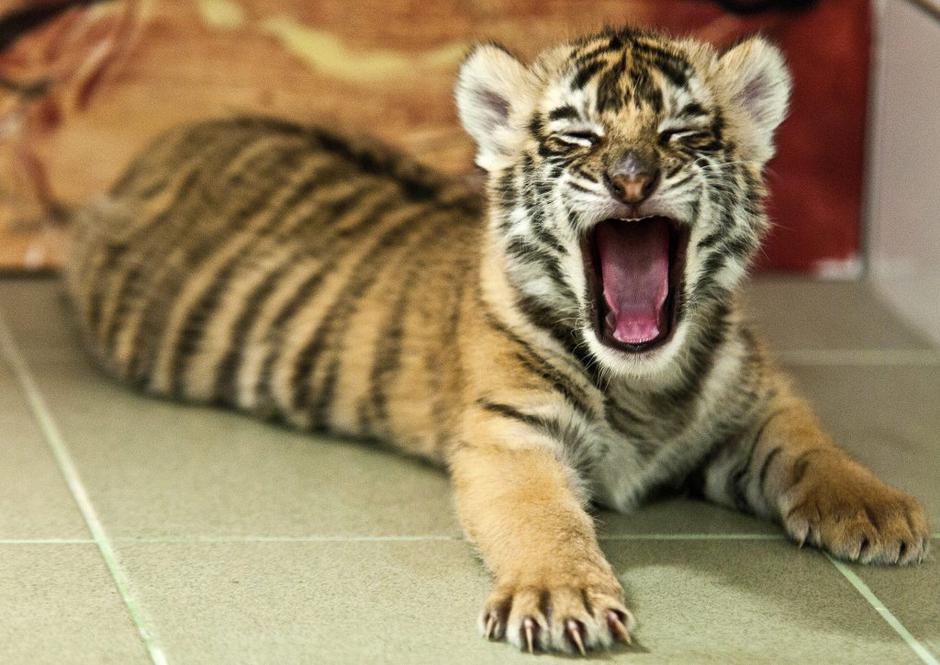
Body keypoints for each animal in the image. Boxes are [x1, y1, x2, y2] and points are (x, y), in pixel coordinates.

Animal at [64, 27, 929, 655]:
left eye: (683, 132)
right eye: (577, 137)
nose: (631, 177)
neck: (642, 380)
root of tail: (174, 136)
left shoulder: (757, 404)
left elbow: (815, 448)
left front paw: (882, 512)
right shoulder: (512, 438)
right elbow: (542, 519)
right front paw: (559, 595)